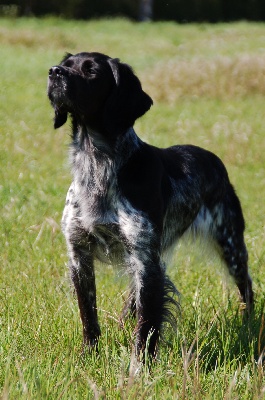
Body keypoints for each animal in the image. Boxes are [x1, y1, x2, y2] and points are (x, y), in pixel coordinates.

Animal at [47, 50, 252, 360]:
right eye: (66, 64)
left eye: (91, 71)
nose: (54, 72)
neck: (97, 165)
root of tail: (212, 158)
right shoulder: (79, 254)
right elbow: (88, 314)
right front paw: (88, 355)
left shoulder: (146, 259)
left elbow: (147, 325)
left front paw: (139, 366)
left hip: (230, 243)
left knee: (247, 287)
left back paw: (250, 324)